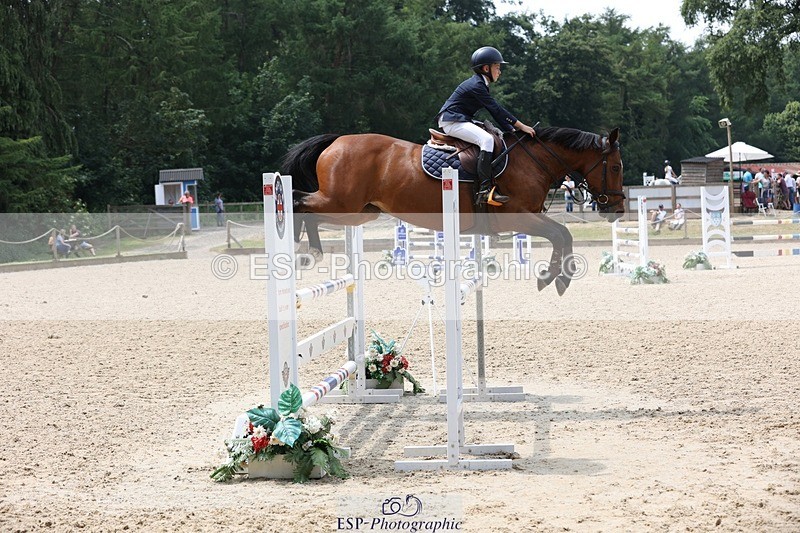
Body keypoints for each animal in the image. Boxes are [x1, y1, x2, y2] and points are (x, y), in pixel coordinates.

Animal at [281, 126, 625, 295]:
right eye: (616, 167)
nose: (618, 210)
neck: (533, 161)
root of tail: (336, 141)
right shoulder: (518, 216)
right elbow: (562, 233)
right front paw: (555, 278)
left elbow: (563, 236)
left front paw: (557, 278)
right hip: (342, 203)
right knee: (298, 201)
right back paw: (302, 252)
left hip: (360, 211)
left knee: (306, 207)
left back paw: (307, 251)